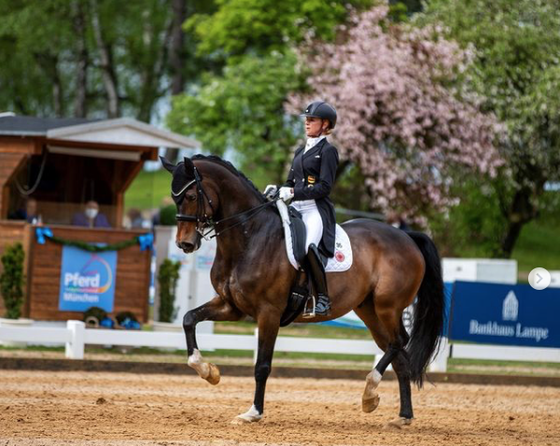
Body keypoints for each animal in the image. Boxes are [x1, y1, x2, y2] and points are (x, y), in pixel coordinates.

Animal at [160, 155, 444, 426]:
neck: (250, 237)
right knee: (398, 356)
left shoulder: (269, 313)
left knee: (399, 341)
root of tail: (407, 237)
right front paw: (209, 372)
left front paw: (254, 412)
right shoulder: (231, 306)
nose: (185, 244)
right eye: (175, 198)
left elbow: (262, 366)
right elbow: (188, 319)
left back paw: (370, 390)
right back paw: (400, 415)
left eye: (191, 196)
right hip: (370, 311)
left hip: (388, 307)